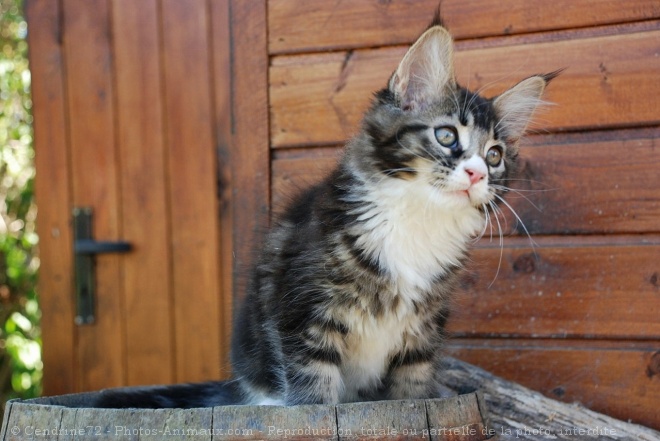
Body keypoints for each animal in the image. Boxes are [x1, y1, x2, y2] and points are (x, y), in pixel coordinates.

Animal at [95, 17, 556, 410]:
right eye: (446, 136)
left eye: (495, 155)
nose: (477, 173)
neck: (417, 217)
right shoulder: (303, 312)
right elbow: (313, 388)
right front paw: (315, 410)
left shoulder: (422, 333)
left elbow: (411, 390)